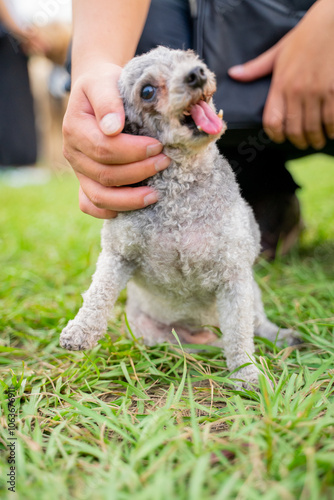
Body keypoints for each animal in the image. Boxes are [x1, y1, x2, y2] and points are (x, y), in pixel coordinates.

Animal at [60, 46, 298, 386]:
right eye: (147, 91)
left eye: (190, 57)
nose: (196, 74)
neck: (180, 196)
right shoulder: (119, 252)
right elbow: (98, 292)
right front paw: (80, 330)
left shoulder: (235, 274)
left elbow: (240, 334)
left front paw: (246, 373)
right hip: (152, 334)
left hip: (252, 292)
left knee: (254, 324)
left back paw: (279, 336)